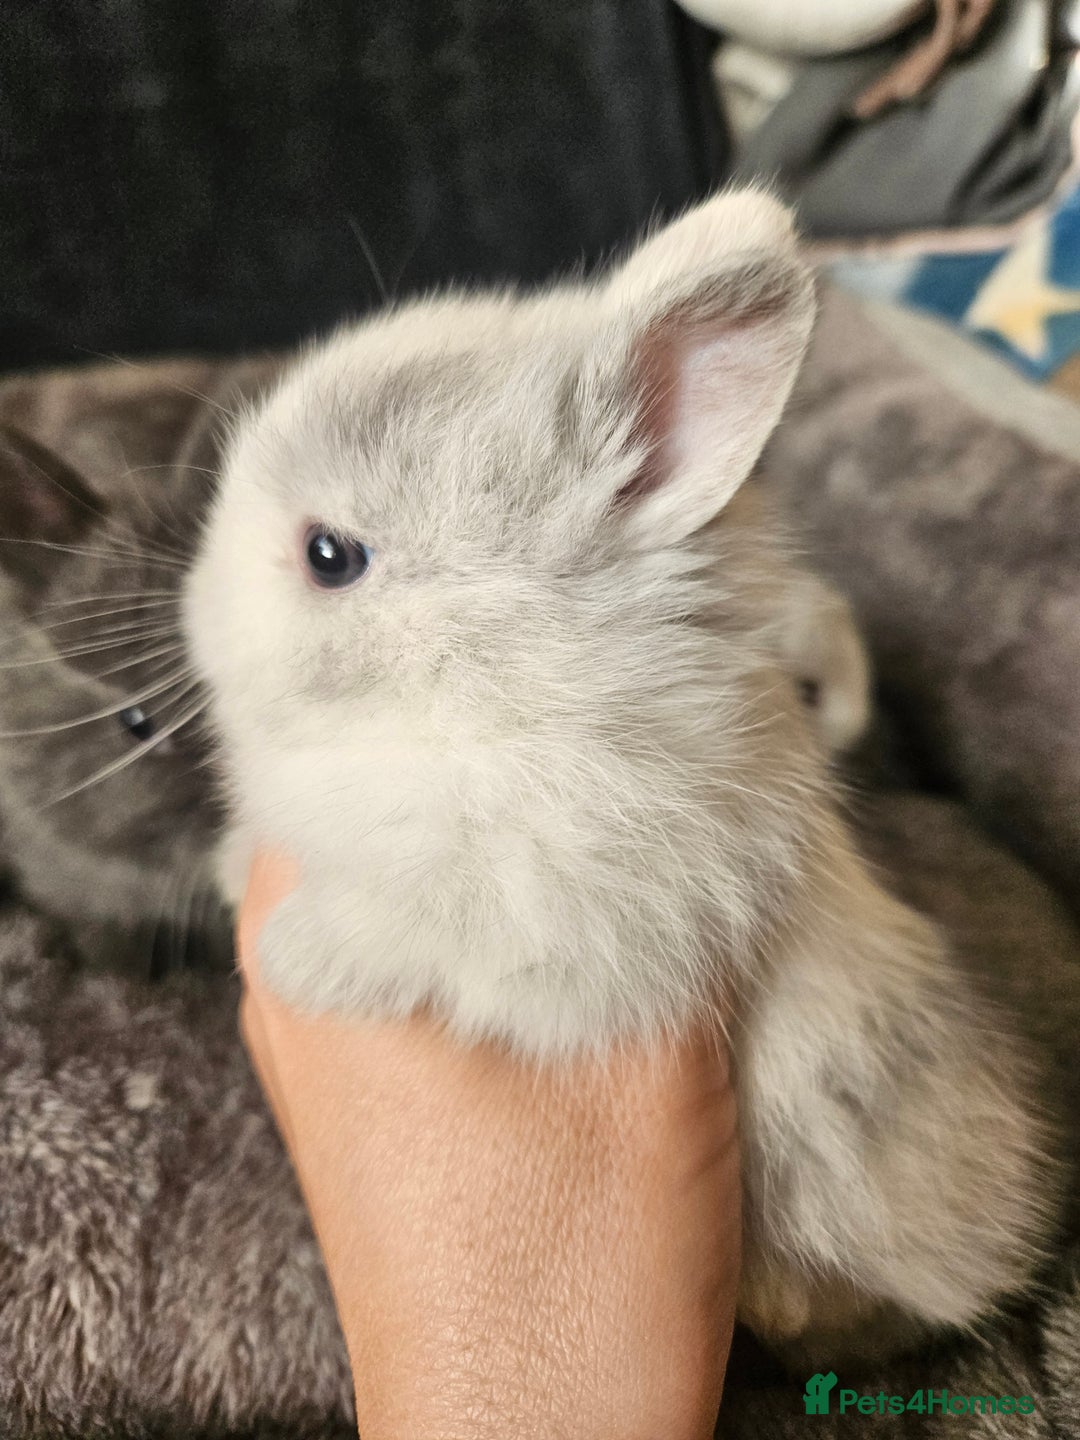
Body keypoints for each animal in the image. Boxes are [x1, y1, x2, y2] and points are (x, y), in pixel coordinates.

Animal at [185, 189, 1070, 1362]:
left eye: (330, 556)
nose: (193, 612)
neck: (478, 683)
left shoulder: (571, 909)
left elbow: (423, 925)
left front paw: (300, 959)